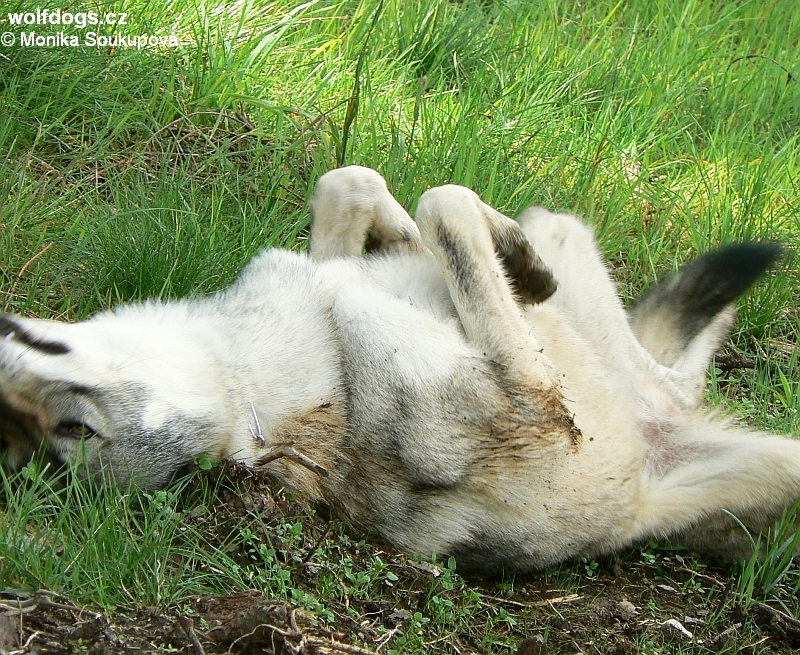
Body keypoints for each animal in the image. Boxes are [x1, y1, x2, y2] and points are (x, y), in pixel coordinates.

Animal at [0, 167, 792, 572]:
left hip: (576, 251)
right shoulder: (538, 399)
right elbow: (442, 204)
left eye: (73, 430)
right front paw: (499, 256)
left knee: (665, 361)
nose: (11, 382)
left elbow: (357, 186)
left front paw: (507, 259)